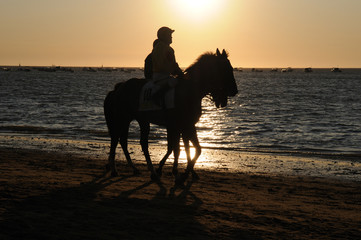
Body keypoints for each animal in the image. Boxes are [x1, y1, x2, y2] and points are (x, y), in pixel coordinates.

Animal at [103, 48, 236, 183]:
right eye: (226, 69)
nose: (234, 91)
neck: (189, 91)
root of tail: (118, 88)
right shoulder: (177, 126)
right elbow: (177, 149)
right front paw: (178, 174)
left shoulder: (188, 126)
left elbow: (194, 149)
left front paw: (186, 173)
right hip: (121, 118)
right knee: (117, 140)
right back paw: (117, 169)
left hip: (137, 120)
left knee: (130, 142)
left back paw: (139, 169)